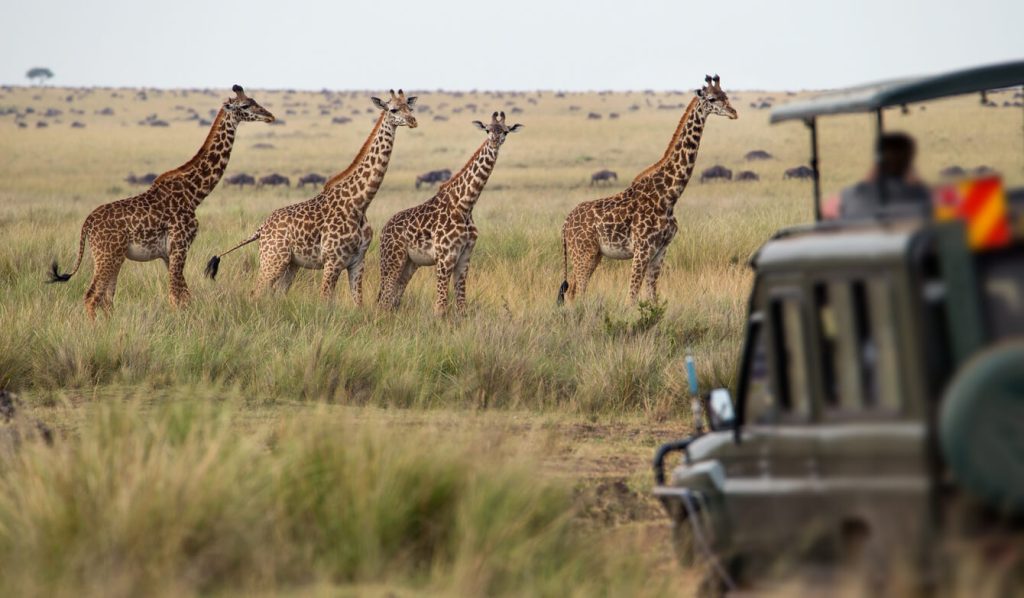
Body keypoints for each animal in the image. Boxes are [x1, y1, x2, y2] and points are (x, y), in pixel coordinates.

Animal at [48, 85, 274, 318]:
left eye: (253, 101)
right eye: (245, 105)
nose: (270, 116)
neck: (193, 195)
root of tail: (87, 225)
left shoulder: (169, 254)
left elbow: (183, 296)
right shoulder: (180, 246)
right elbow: (176, 296)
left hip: (112, 256)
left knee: (106, 298)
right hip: (107, 255)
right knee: (92, 296)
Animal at [205, 90, 417, 303]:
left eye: (410, 107)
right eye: (393, 109)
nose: (413, 121)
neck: (359, 203)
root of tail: (262, 228)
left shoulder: (358, 261)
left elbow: (358, 302)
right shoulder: (332, 260)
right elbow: (325, 300)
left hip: (291, 263)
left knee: (277, 293)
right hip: (272, 259)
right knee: (256, 292)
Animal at [377, 111, 522, 316]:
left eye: (505, 131)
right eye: (487, 129)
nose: (494, 141)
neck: (465, 205)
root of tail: (383, 231)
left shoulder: (464, 257)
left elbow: (461, 306)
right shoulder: (445, 257)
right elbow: (440, 307)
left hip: (410, 263)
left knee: (393, 299)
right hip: (392, 259)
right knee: (384, 300)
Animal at [557, 75, 737, 305]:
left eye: (726, 95)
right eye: (713, 99)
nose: (734, 112)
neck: (669, 196)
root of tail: (565, 224)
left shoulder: (660, 250)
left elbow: (652, 296)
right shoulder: (642, 249)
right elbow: (632, 297)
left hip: (593, 253)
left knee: (572, 290)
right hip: (583, 252)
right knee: (577, 291)